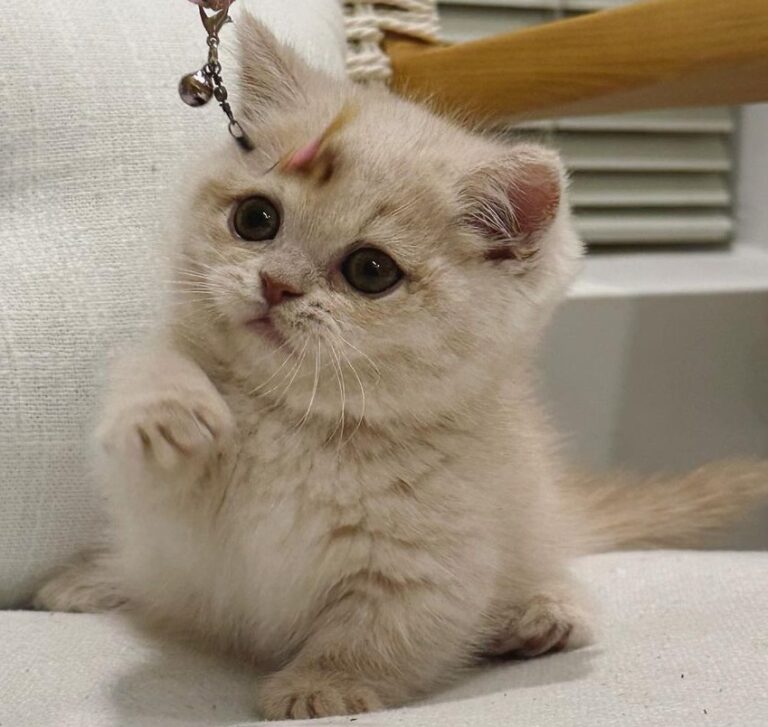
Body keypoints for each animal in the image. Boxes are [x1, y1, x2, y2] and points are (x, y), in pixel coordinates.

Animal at [34, 13, 768, 720]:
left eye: (370, 270)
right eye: (256, 218)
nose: (275, 284)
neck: (297, 422)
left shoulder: (430, 562)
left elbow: (382, 631)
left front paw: (324, 686)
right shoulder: (181, 532)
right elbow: (155, 396)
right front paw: (168, 413)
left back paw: (541, 615)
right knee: (138, 571)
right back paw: (88, 578)